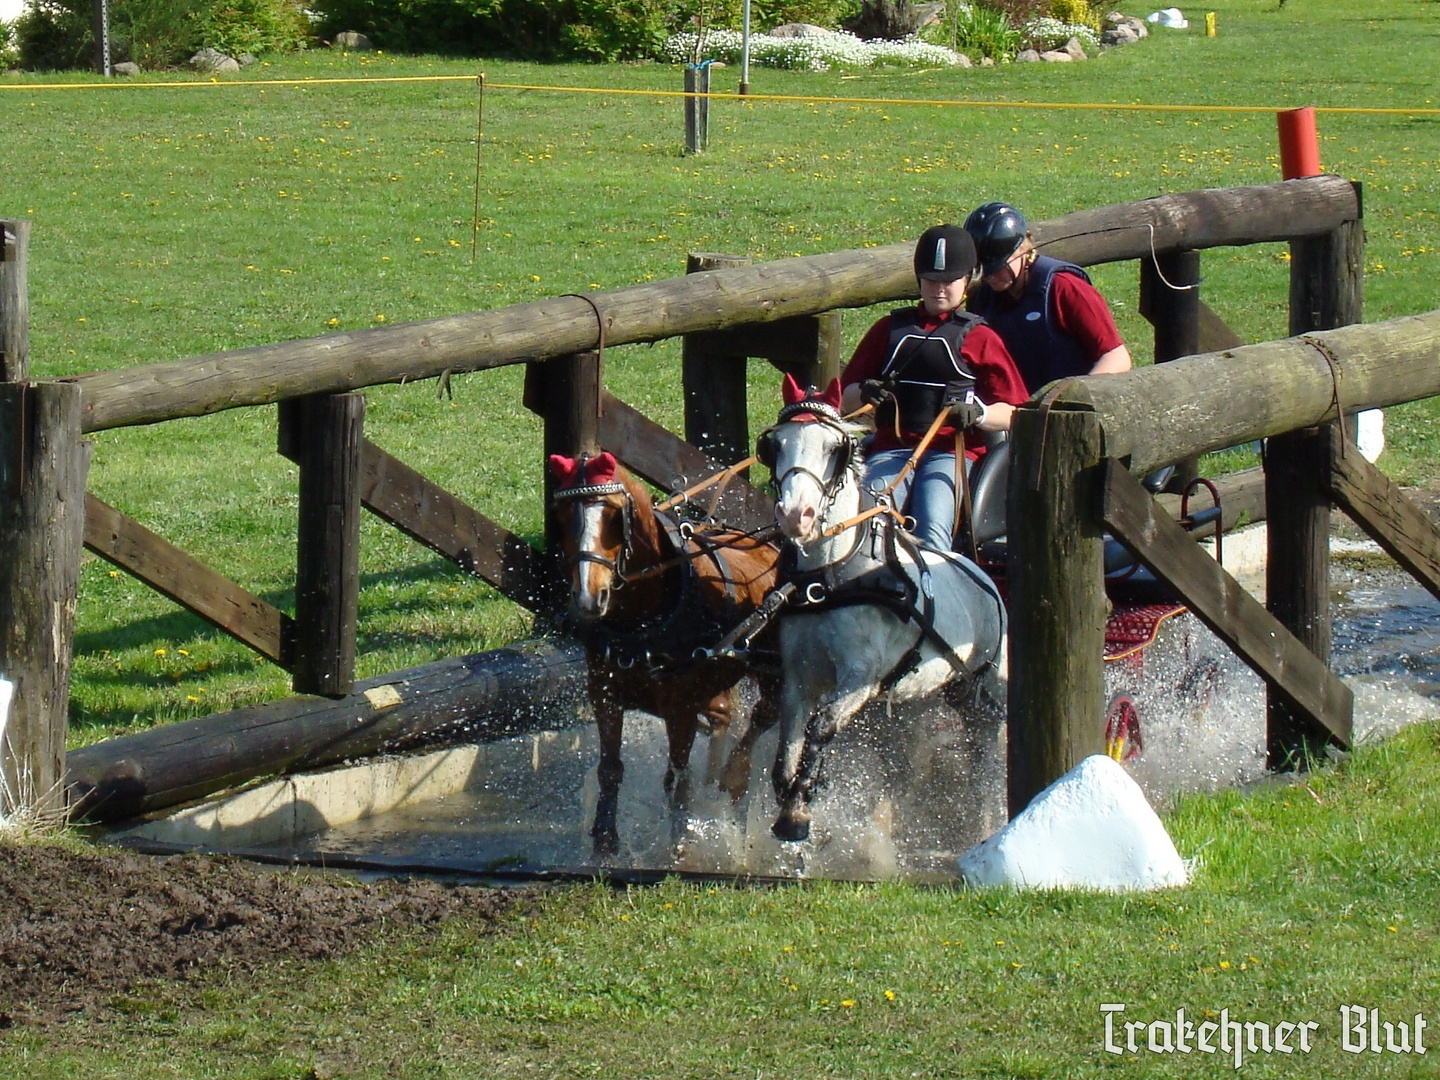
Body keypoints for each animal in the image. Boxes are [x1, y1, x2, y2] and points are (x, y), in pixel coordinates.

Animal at [544, 452, 783, 858]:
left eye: (613, 516)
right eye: (561, 517)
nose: (588, 598)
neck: (641, 619)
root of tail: (772, 547)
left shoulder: (681, 706)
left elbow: (678, 774)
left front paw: (681, 840)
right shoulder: (604, 693)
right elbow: (610, 767)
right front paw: (604, 839)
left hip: (774, 676)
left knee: (761, 721)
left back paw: (735, 782)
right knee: (724, 718)